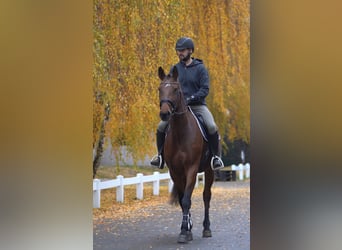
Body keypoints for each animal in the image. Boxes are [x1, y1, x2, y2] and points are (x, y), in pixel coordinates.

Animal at [157, 65, 214, 243]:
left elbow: (187, 200)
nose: (165, 114)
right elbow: (183, 201)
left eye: (176, 89)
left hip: (209, 170)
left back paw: (207, 228)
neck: (180, 132)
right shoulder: (175, 171)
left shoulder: (191, 169)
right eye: (159, 89)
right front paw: (186, 229)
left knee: (206, 196)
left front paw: (184, 231)